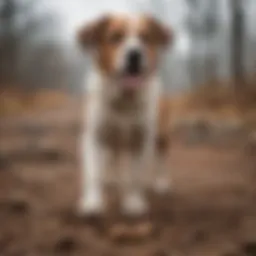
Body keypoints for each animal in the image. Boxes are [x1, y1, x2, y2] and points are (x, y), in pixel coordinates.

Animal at [77, 14, 173, 217]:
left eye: (145, 38)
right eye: (116, 37)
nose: (134, 54)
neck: (125, 99)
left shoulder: (141, 140)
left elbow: (135, 176)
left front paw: (133, 203)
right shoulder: (94, 137)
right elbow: (93, 173)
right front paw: (92, 203)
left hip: (162, 137)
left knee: (162, 159)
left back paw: (162, 184)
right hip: (111, 142)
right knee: (112, 159)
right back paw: (111, 181)